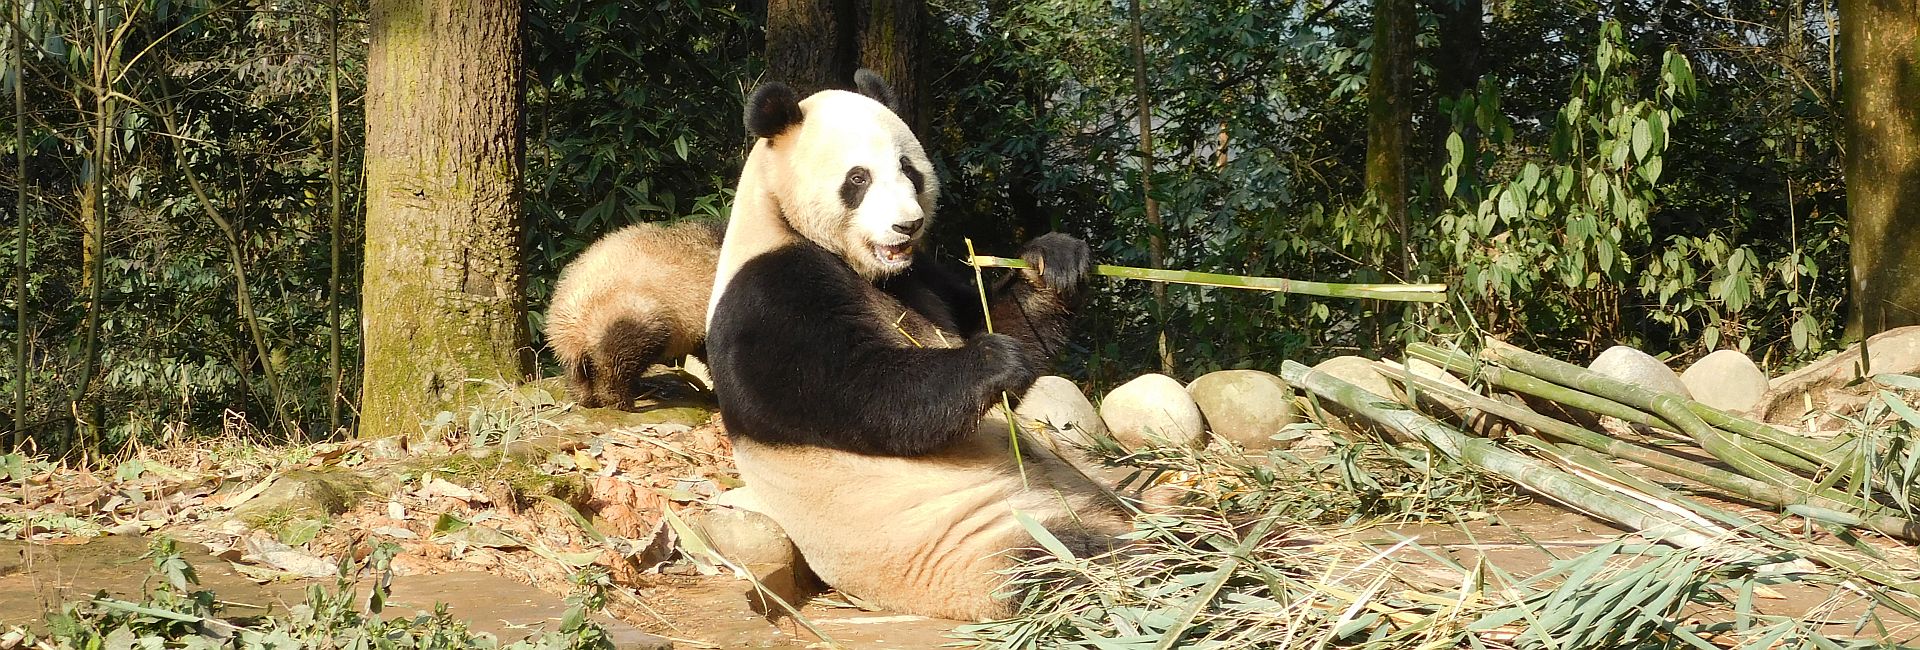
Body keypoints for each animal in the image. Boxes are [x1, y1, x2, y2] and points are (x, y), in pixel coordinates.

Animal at [546, 217, 724, 409]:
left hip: (571, 342)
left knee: (577, 369)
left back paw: (586, 397)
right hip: (631, 309)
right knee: (619, 357)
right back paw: (618, 398)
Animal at [705, 70, 1132, 621]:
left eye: (909, 169)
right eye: (858, 179)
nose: (906, 224)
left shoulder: (920, 275)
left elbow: (989, 318)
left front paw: (1053, 263)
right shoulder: (768, 299)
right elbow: (862, 396)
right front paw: (993, 361)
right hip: (983, 538)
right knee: (1078, 560)